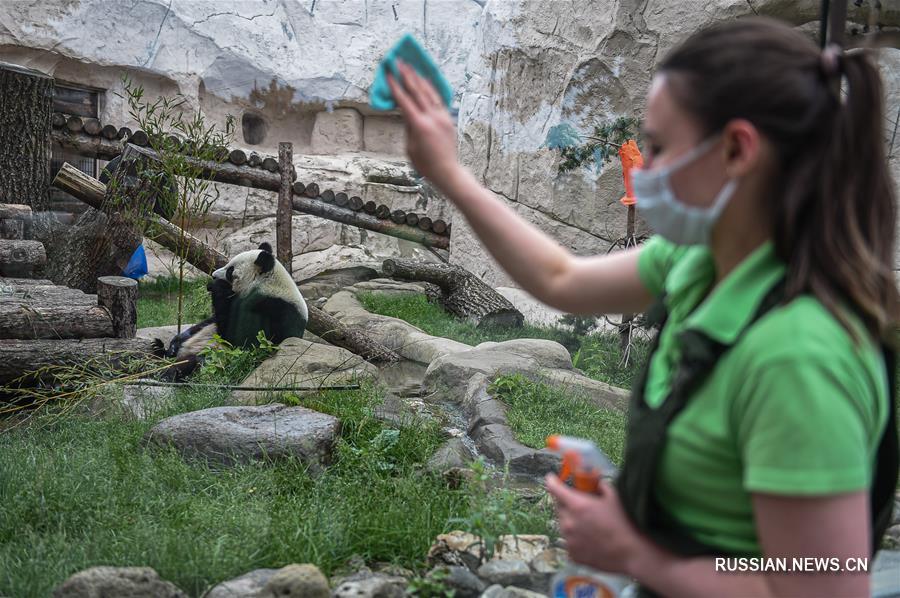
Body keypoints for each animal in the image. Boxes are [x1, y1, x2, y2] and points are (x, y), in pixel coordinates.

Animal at [163, 243, 312, 380]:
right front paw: (175, 343)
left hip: (217, 358)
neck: (268, 285)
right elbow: (209, 321)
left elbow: (240, 339)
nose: (213, 276)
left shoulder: (273, 308)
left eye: (230, 271)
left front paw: (218, 286)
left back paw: (170, 373)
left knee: (197, 361)